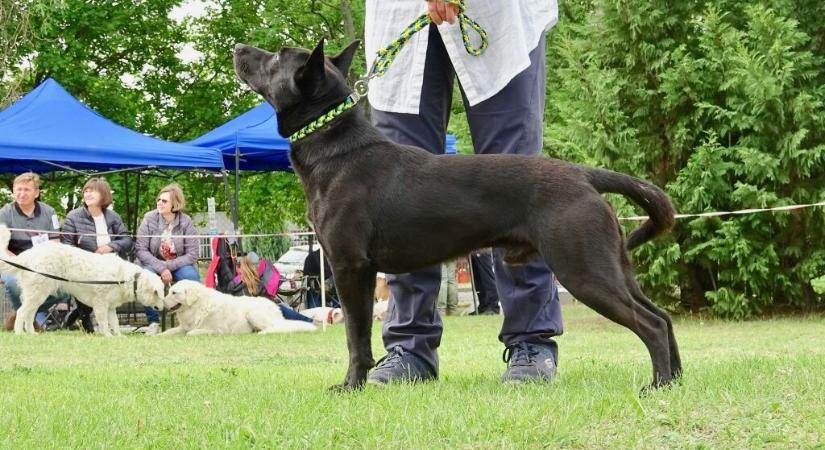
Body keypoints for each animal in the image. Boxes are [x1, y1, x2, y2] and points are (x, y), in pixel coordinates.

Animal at [0, 224, 166, 334]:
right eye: (158, 294)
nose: (164, 308)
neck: (130, 279)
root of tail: (30, 253)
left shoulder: (111, 307)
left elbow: (115, 322)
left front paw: (118, 337)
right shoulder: (100, 304)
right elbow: (104, 323)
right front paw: (107, 336)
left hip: (38, 295)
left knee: (29, 314)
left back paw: (32, 334)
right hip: (38, 292)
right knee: (21, 312)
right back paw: (20, 333)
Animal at [159, 280, 318, 336]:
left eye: (174, 293)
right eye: (169, 291)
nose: (161, 302)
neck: (198, 306)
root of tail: (276, 306)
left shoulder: (216, 330)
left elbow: (190, 333)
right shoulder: (183, 327)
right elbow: (168, 332)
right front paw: (157, 336)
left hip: (253, 314)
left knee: (273, 328)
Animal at [233, 39, 684, 390]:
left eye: (277, 57)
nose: (238, 48)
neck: (336, 148)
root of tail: (584, 174)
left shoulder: (349, 266)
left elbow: (355, 338)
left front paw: (350, 386)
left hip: (583, 269)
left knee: (650, 323)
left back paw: (658, 384)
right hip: (612, 266)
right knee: (662, 316)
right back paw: (675, 381)